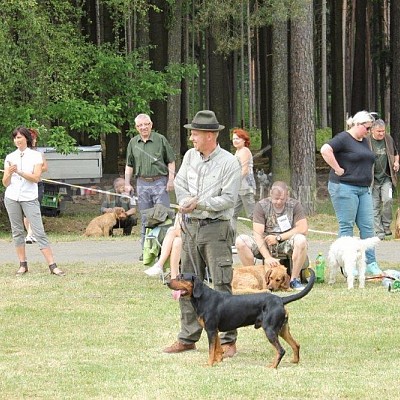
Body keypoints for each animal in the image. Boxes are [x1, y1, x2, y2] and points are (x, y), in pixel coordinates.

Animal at [167, 268, 314, 368]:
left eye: (181, 277)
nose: (167, 282)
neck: (203, 297)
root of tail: (280, 300)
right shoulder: (214, 330)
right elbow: (218, 348)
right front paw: (218, 361)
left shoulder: (210, 329)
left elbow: (211, 350)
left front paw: (209, 364)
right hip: (283, 329)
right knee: (296, 344)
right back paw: (294, 361)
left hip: (270, 330)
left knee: (281, 350)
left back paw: (272, 366)